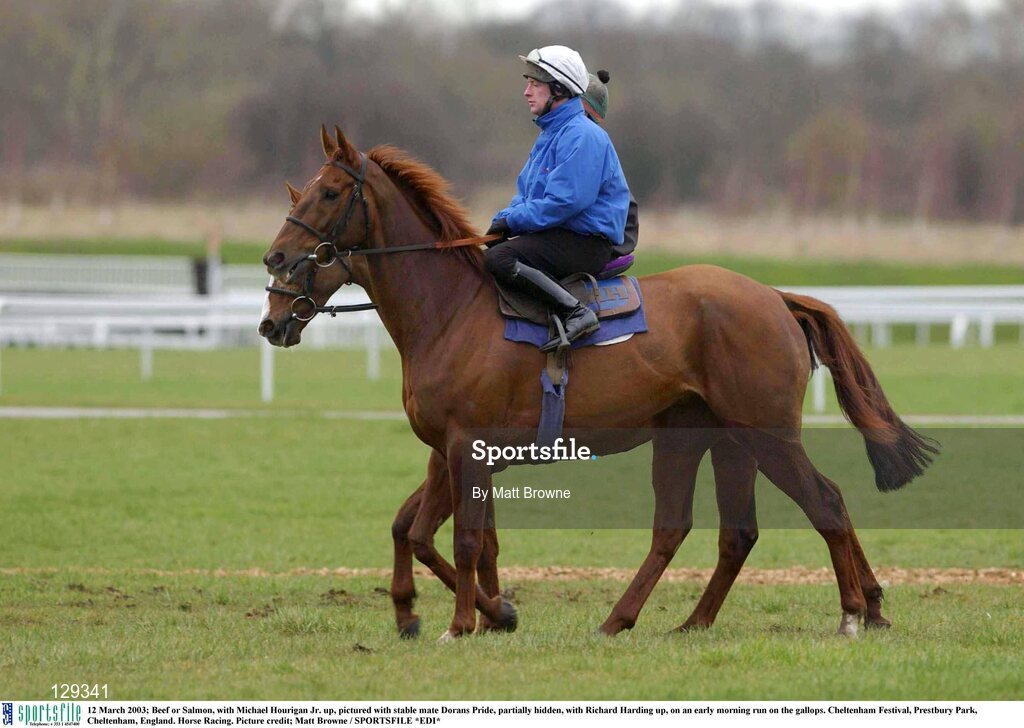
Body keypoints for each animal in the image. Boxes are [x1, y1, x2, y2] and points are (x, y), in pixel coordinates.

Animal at [259, 125, 937, 641]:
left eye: (328, 193)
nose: (274, 267)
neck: (451, 310)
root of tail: (774, 297)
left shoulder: (465, 448)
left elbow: (463, 540)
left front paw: (466, 621)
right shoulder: (446, 452)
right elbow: (415, 530)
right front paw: (445, 613)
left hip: (764, 434)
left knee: (824, 503)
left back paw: (850, 613)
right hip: (708, 441)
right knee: (716, 531)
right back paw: (667, 620)